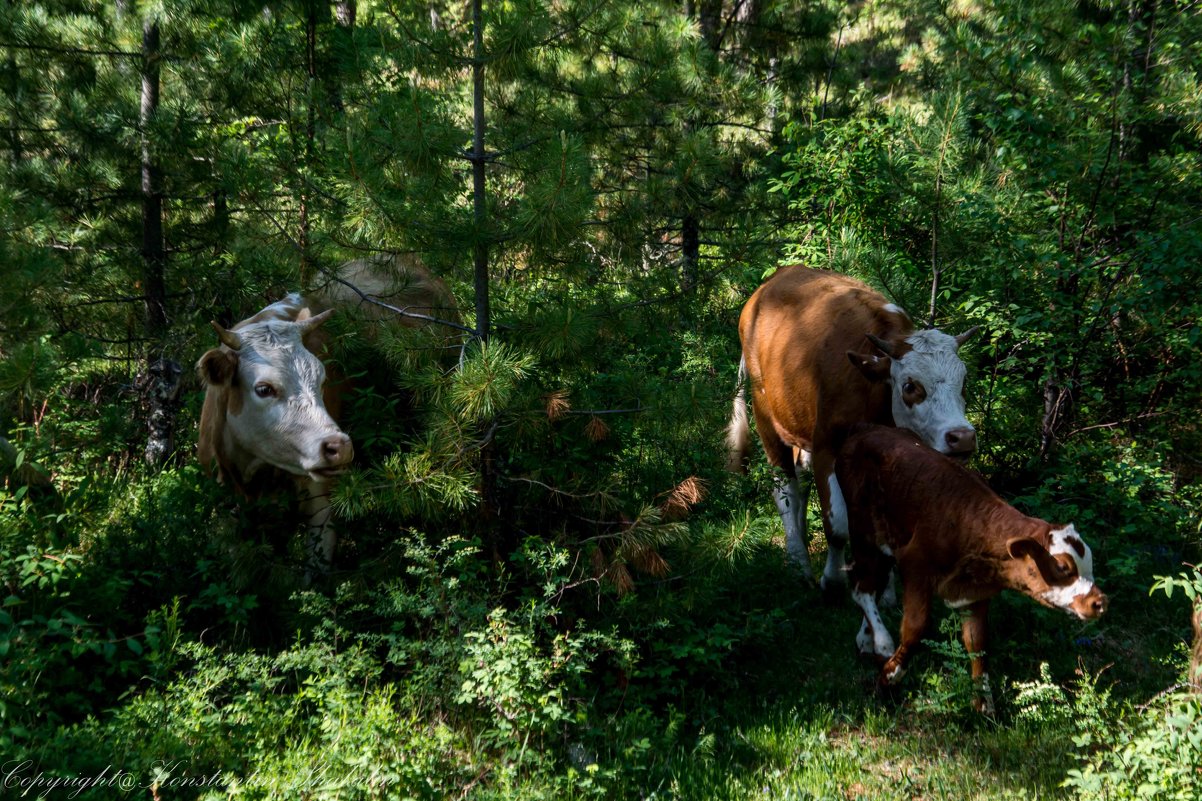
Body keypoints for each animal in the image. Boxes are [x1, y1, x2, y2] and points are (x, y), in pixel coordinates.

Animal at [721, 264, 976, 589]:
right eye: (910, 386)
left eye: (964, 381)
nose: (963, 437)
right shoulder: (826, 445)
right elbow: (838, 525)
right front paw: (833, 580)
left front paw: (885, 589)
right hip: (765, 411)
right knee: (784, 486)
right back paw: (798, 562)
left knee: (800, 481)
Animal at [836, 423, 1105, 712]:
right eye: (1062, 567)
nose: (1100, 602)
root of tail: (866, 429)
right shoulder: (916, 566)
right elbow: (915, 628)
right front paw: (888, 678)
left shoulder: (976, 592)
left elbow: (978, 642)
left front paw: (984, 703)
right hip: (863, 530)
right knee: (861, 587)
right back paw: (882, 641)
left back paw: (866, 639)